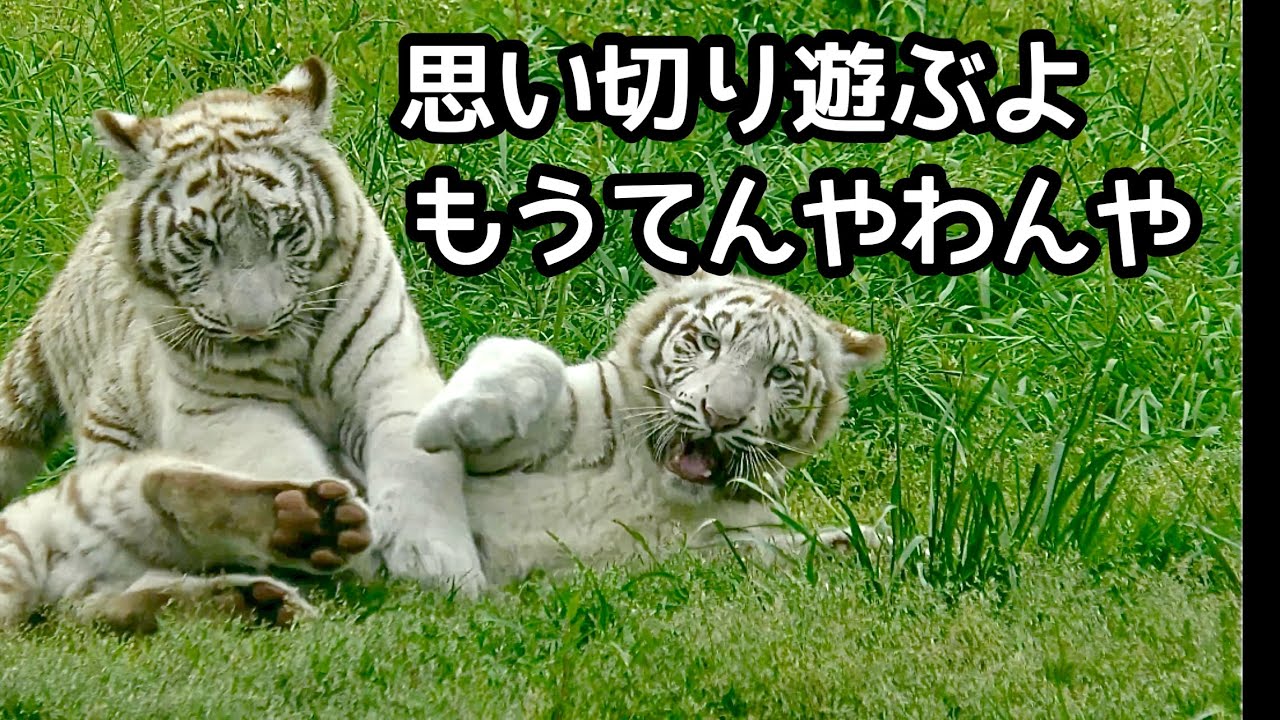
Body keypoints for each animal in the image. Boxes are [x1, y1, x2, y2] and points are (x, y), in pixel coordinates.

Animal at [0, 56, 487, 629]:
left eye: (284, 231)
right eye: (199, 242)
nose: (254, 327)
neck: (291, 349)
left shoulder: (389, 373)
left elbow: (417, 468)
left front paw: (438, 571)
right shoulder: (226, 411)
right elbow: (281, 459)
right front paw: (354, 556)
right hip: (109, 441)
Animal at [414, 266, 889, 585]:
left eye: (779, 374)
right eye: (711, 342)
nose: (720, 416)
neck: (653, 485)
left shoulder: (720, 548)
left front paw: (862, 543)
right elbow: (534, 359)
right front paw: (440, 420)